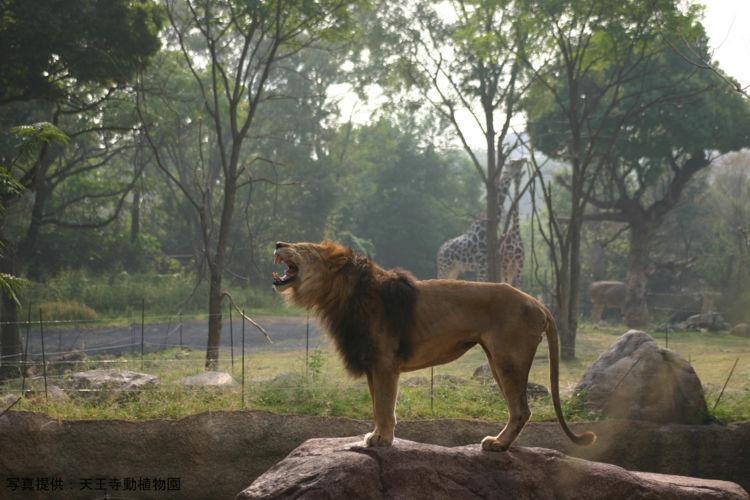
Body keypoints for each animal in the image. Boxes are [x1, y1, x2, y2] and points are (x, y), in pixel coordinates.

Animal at [274, 240, 596, 452]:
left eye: (302, 247)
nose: (278, 243)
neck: (342, 295)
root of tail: (538, 304)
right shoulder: (373, 364)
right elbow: (378, 405)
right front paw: (377, 435)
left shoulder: (385, 362)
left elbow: (384, 405)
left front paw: (381, 440)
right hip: (497, 360)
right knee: (519, 408)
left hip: (508, 360)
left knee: (521, 410)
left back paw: (498, 444)